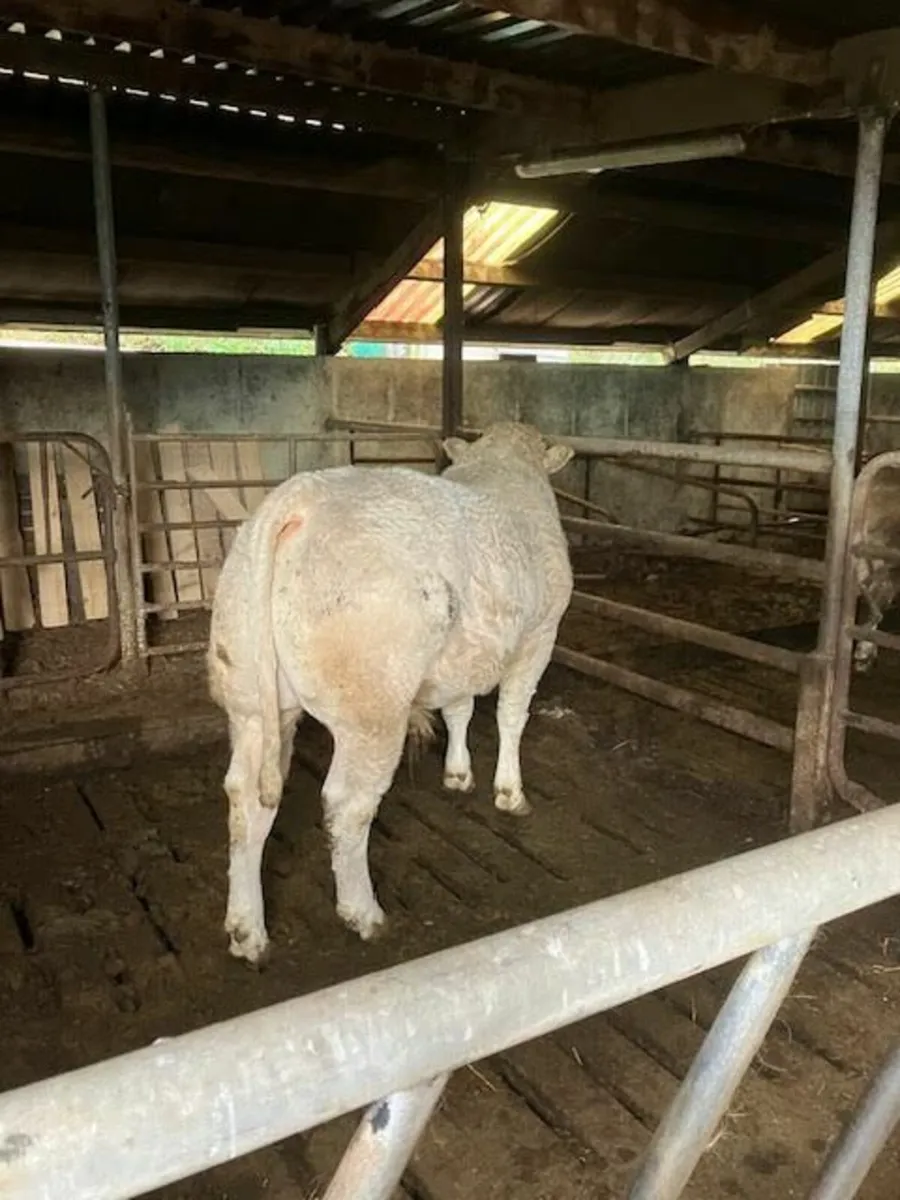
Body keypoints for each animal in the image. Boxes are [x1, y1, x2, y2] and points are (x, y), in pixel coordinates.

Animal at [208, 422, 574, 965]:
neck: (503, 467)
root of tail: (300, 497)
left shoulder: (461, 657)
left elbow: (460, 709)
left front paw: (458, 773)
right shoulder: (540, 635)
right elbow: (511, 715)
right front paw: (509, 791)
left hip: (251, 697)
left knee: (245, 799)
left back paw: (247, 928)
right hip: (372, 709)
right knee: (347, 806)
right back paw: (363, 912)